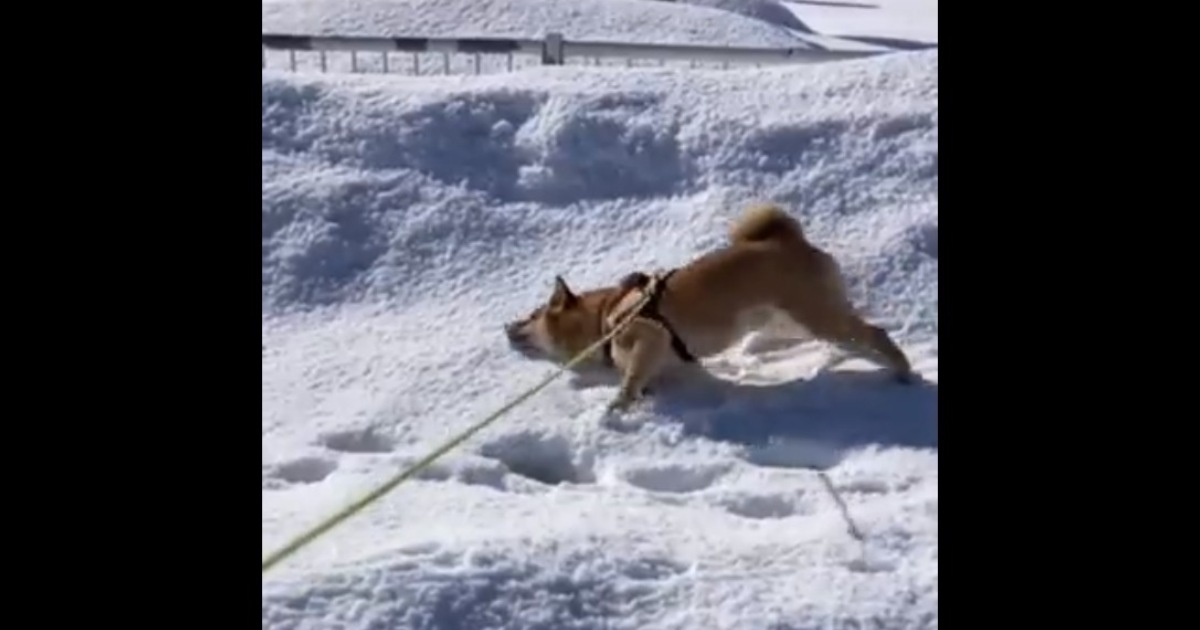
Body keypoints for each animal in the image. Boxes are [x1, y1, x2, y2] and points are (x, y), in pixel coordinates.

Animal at [501, 201, 912, 412]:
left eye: (534, 315)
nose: (507, 325)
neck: (605, 319)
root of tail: (789, 241)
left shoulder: (647, 337)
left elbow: (630, 380)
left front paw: (617, 407)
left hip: (812, 315)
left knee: (875, 332)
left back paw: (902, 370)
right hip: (796, 319)